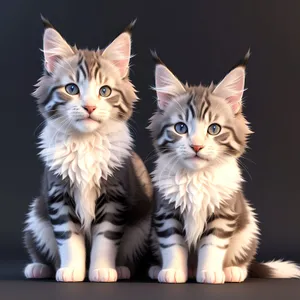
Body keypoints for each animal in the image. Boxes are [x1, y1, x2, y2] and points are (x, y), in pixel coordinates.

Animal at [22, 17, 152, 282]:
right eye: (71, 89)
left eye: (104, 91)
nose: (90, 107)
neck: (85, 142)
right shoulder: (58, 195)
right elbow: (69, 239)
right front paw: (72, 270)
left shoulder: (114, 195)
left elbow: (106, 239)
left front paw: (101, 270)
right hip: (36, 215)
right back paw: (38, 268)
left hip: (141, 223)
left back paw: (121, 269)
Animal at [148, 51, 300, 284]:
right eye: (181, 128)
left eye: (214, 129)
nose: (197, 146)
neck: (196, 176)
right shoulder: (166, 212)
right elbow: (173, 244)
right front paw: (173, 271)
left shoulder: (224, 213)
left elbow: (213, 245)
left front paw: (210, 273)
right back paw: (162, 269)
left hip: (248, 228)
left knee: (244, 262)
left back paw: (232, 271)